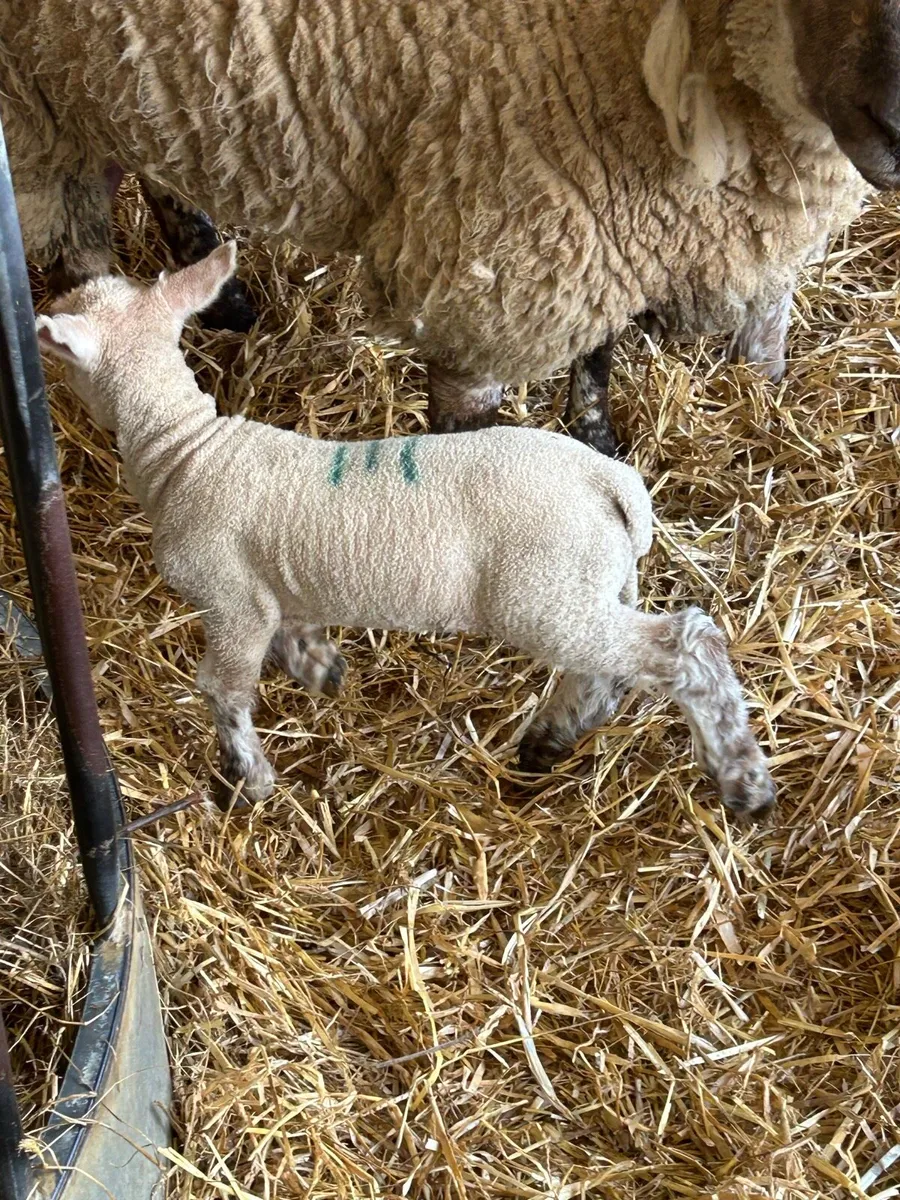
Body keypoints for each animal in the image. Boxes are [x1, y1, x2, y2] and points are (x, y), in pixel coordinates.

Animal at [2, 0, 892, 450]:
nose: (896, 128)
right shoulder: (492, 251)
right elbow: (474, 428)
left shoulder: (584, 219)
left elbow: (596, 357)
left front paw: (597, 439)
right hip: (34, 103)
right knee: (77, 242)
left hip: (123, 75)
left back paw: (216, 288)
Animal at [35, 243, 775, 818]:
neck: (186, 449)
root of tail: (610, 483)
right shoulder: (271, 591)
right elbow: (292, 631)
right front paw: (321, 668)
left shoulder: (230, 601)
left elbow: (224, 690)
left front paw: (248, 777)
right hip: (596, 586)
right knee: (609, 672)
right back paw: (548, 741)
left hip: (542, 596)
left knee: (687, 646)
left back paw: (744, 781)